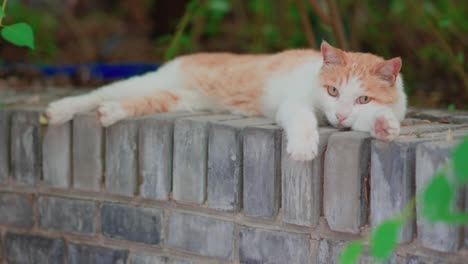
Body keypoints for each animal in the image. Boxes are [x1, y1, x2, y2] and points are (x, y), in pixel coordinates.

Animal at [45, 40, 408, 161]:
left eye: (362, 98)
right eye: (332, 91)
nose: (341, 117)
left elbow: (372, 120)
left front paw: (382, 126)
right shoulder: (294, 104)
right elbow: (304, 120)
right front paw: (304, 147)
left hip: (180, 99)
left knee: (141, 102)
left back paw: (111, 112)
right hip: (150, 81)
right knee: (100, 93)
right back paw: (60, 110)